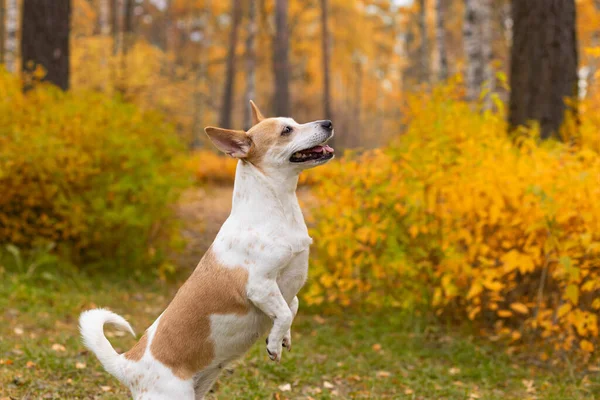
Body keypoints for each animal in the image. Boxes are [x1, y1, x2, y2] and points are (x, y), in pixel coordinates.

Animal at [77, 102, 336, 400]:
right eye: (286, 130)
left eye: (293, 122)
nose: (328, 123)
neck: (278, 210)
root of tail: (128, 365)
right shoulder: (259, 286)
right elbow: (282, 311)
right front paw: (273, 343)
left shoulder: (287, 286)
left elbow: (292, 306)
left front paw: (283, 338)